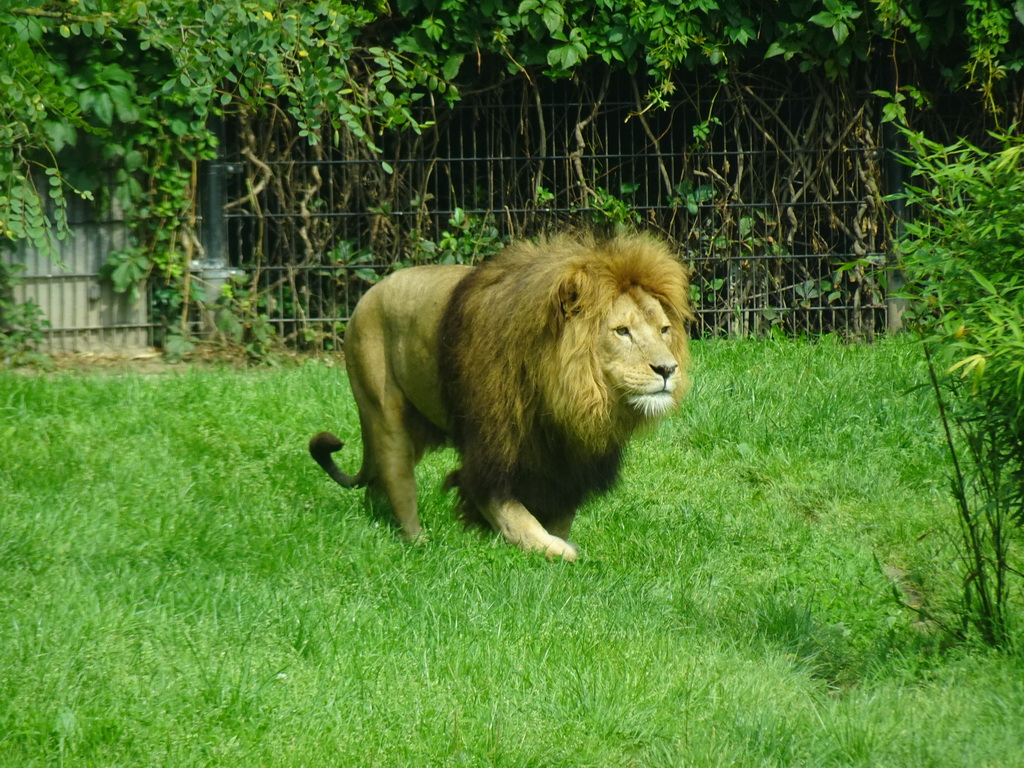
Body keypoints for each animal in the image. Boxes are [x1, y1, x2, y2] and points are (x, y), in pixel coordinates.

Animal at [307, 231, 692, 561]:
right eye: (622, 331)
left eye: (664, 329)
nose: (667, 369)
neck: (570, 397)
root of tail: (367, 296)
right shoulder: (488, 455)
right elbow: (516, 520)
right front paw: (555, 550)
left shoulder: (568, 464)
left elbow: (559, 518)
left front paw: (558, 546)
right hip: (385, 417)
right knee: (398, 483)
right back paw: (418, 544)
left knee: (377, 486)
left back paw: (378, 518)